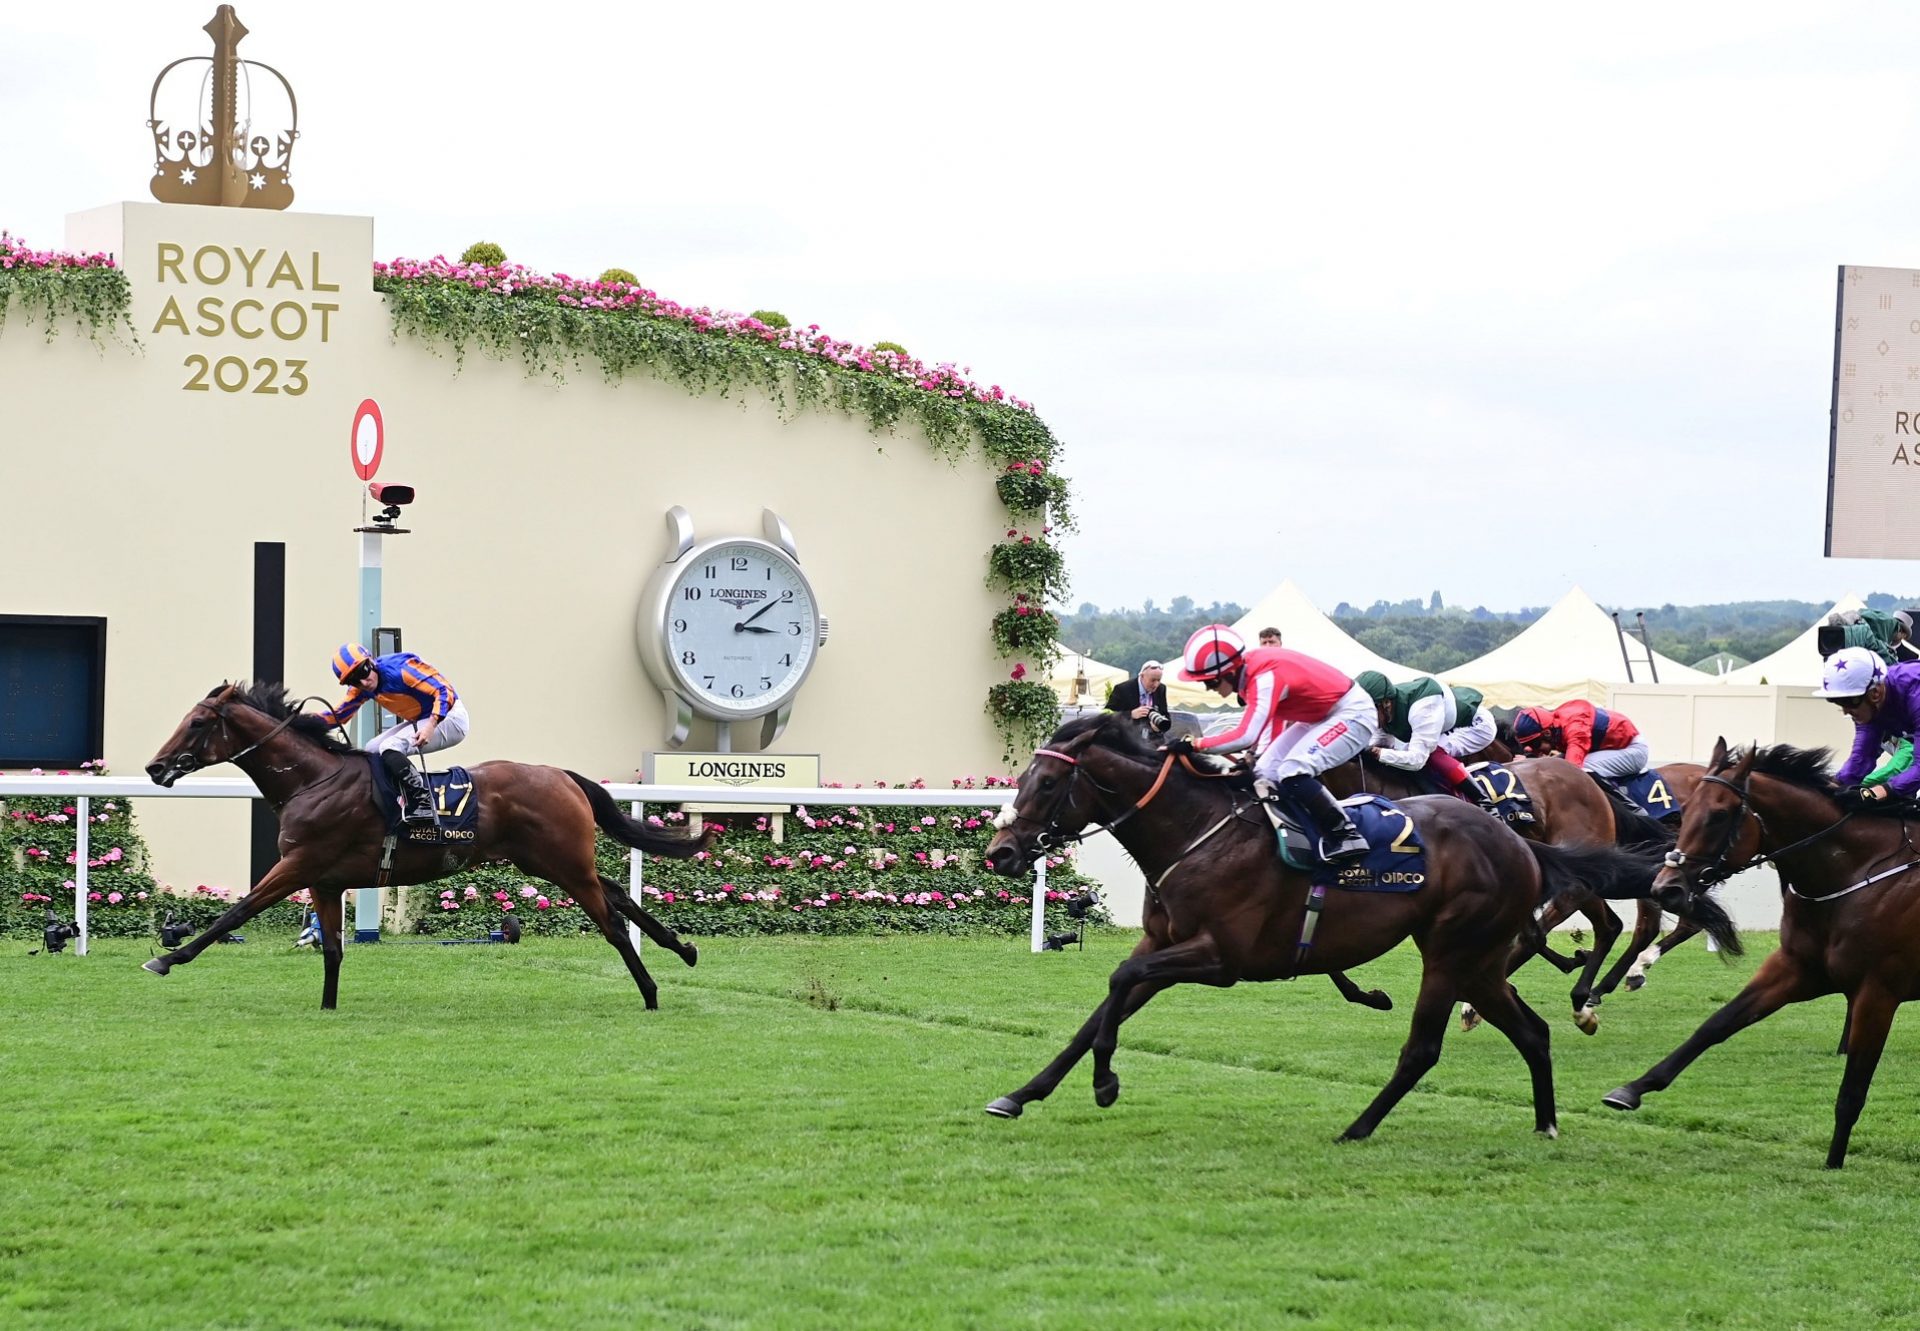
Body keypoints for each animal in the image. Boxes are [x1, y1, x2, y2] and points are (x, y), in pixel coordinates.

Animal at [142, 683, 714, 1006]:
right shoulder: (324, 881)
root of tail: (561, 775)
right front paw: (327, 1008)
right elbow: (332, 950)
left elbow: (235, 913)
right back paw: (682, 949)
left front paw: (168, 958)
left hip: (564, 864)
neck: (313, 780)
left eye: (197, 722)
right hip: (552, 862)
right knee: (617, 892)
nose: (154, 767)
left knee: (612, 923)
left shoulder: (299, 864)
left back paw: (651, 993)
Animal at [975, 710, 1743, 1137]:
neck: (1197, 831)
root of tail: (1518, 842)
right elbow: (1098, 1011)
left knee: (1429, 1044)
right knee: (1532, 1026)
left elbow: (1117, 978)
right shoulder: (1168, 942)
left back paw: (1359, 1126)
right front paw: (1021, 1094)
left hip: (1451, 950)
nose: (1002, 851)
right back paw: (1547, 1119)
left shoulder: (1219, 958)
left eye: (1049, 782)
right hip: (1477, 960)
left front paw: (1106, 1084)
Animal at [1605, 741, 1920, 1167]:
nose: (1665, 888)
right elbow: (1716, 1025)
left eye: (1719, 814)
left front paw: (1833, 1162)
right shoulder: (1795, 969)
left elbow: (1853, 1089)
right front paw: (1632, 1089)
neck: (1854, 874)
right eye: (1685, 810)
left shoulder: (1878, 992)